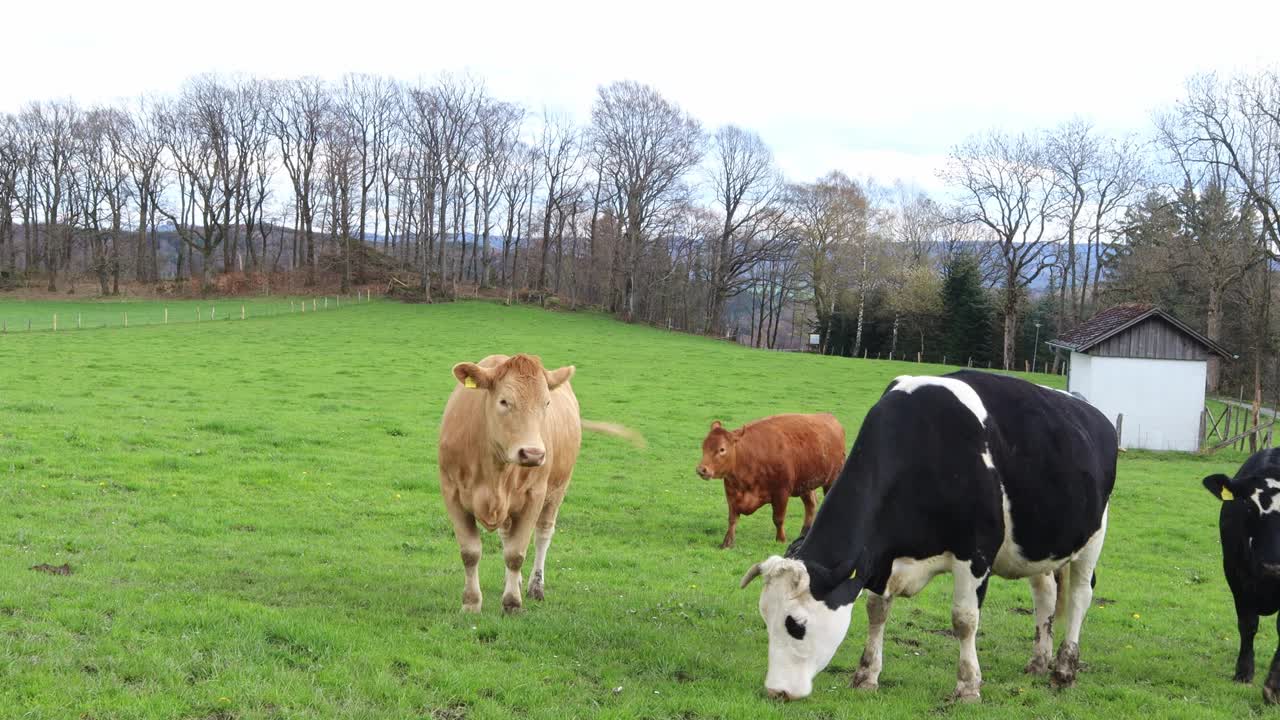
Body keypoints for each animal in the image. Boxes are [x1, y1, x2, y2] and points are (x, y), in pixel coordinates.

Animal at [442, 353, 645, 609]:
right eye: (504, 401)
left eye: (547, 403)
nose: (533, 454)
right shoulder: (452, 494)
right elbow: (470, 553)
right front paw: (471, 604)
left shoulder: (534, 496)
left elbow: (516, 553)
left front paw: (512, 603)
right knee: (507, 535)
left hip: (557, 491)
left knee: (542, 535)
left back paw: (535, 586)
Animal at [696, 412, 844, 545]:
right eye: (704, 446)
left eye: (722, 449)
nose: (701, 469)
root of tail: (830, 417)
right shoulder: (732, 492)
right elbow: (732, 519)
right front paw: (727, 543)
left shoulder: (781, 492)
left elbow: (778, 518)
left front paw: (781, 539)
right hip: (805, 484)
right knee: (811, 505)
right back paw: (804, 532)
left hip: (832, 479)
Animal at [737, 371, 1116, 696]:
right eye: (765, 617)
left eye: (796, 624)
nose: (776, 691)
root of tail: (1092, 412)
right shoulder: (883, 558)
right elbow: (876, 610)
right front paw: (866, 676)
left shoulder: (976, 553)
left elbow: (964, 620)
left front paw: (968, 687)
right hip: (1037, 546)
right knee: (1046, 595)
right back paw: (1039, 662)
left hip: (1093, 537)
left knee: (1080, 595)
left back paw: (1064, 669)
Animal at [1203, 448, 1280, 702]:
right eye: (1248, 506)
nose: (1272, 566)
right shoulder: (1236, 574)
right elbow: (1248, 624)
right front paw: (1244, 673)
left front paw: (1274, 687)